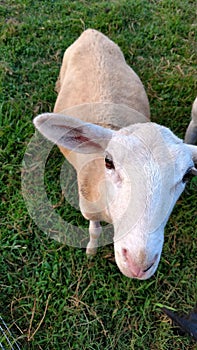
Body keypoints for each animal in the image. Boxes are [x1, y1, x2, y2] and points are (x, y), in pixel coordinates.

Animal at [33, 28, 197, 280]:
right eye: (108, 162)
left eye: (188, 175)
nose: (138, 264)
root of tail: (90, 32)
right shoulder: (88, 210)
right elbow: (94, 232)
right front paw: (91, 252)